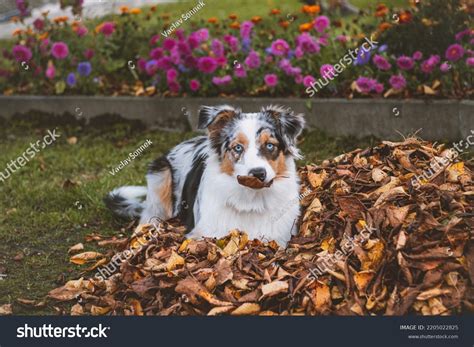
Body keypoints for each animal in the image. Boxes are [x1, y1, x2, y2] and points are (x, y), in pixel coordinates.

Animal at [104, 104, 304, 247]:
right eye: (238, 147)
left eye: (270, 145)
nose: (258, 174)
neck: (251, 200)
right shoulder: (201, 234)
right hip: (160, 177)